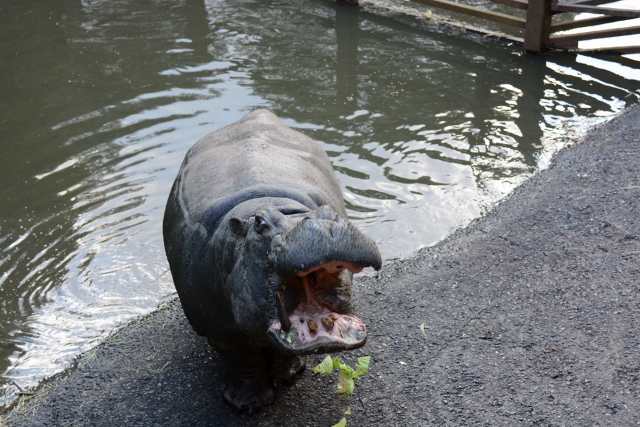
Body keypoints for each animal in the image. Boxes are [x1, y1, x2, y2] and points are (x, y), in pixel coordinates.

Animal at [162, 109, 380, 414]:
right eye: (261, 224)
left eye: (327, 211)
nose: (318, 222)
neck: (273, 204)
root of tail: (258, 113)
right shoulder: (220, 331)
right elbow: (243, 360)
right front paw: (246, 406)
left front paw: (288, 376)